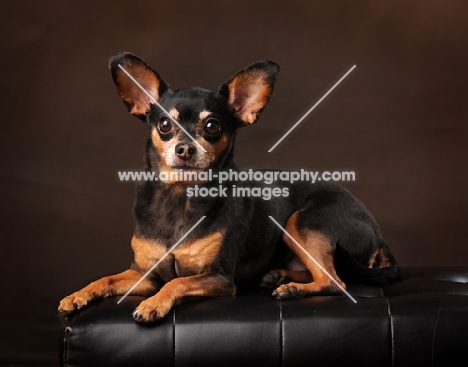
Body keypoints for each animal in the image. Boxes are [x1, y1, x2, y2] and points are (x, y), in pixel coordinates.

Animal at [58, 53, 398, 324]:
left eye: (212, 126)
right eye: (165, 125)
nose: (185, 149)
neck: (180, 197)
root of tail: (377, 232)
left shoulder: (219, 277)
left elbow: (176, 283)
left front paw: (154, 304)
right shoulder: (146, 274)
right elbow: (106, 278)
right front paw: (78, 295)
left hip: (301, 221)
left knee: (335, 281)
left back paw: (292, 289)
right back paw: (279, 276)